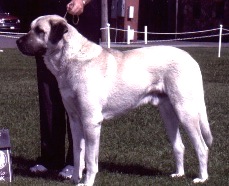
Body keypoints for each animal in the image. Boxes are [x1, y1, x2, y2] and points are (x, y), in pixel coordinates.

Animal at [17, 15, 213, 185]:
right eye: (31, 28)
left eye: (40, 31)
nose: (18, 42)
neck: (70, 59)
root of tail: (191, 59)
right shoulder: (74, 120)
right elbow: (78, 154)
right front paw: (74, 179)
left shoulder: (91, 121)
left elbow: (90, 158)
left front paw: (87, 182)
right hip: (168, 114)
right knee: (179, 146)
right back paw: (179, 174)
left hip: (185, 112)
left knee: (202, 147)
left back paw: (202, 178)